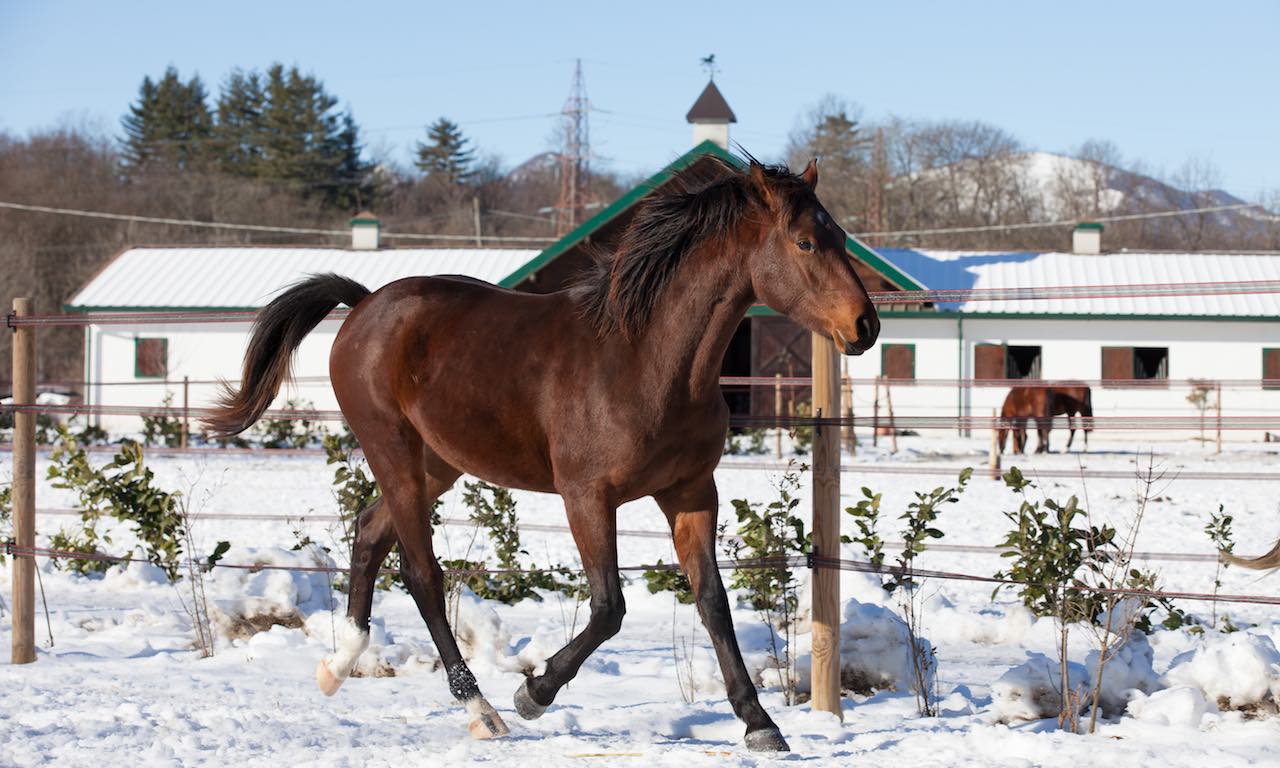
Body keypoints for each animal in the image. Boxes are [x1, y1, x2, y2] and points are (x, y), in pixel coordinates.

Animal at [202, 156, 880, 747]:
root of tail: (365, 303)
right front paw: (534, 693)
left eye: (840, 236)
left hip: (436, 462)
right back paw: (481, 709)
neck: (646, 360)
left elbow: (713, 602)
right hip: (391, 449)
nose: (865, 327)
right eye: (804, 243)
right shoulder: (587, 496)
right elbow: (609, 607)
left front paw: (759, 724)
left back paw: (338, 666)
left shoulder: (690, 492)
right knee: (421, 573)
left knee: (369, 532)